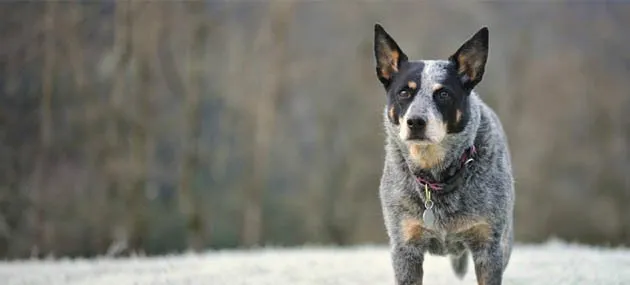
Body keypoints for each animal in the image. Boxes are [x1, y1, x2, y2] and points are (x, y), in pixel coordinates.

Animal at [376, 24, 512, 284]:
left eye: (443, 94)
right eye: (404, 92)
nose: (415, 122)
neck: (435, 177)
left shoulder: (488, 246)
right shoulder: (405, 248)